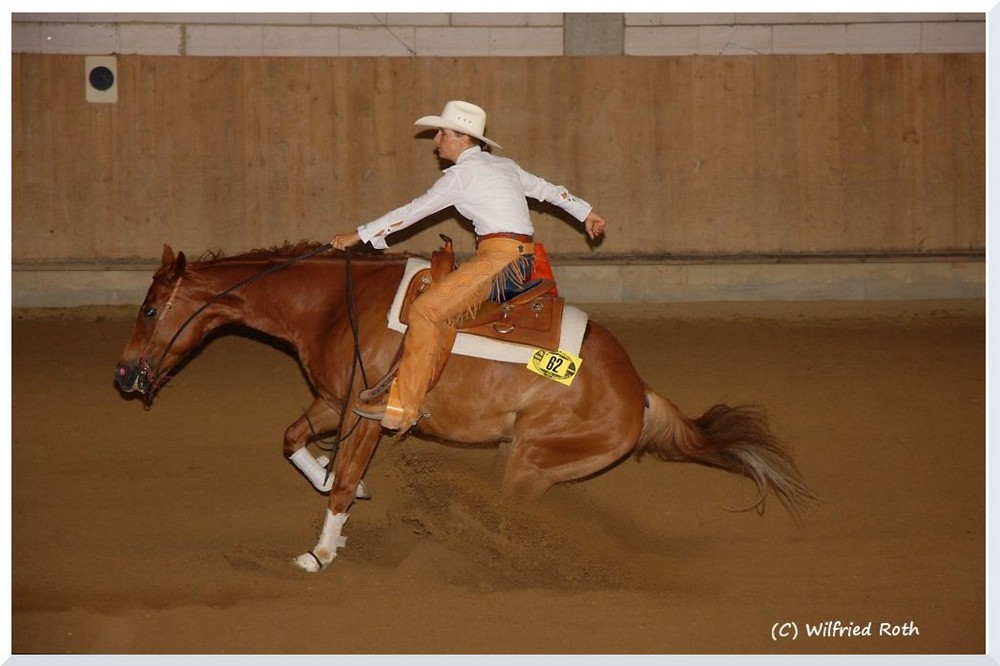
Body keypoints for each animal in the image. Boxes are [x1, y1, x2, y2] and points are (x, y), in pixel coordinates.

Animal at [115, 243, 812, 572]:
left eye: (149, 309)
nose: (122, 375)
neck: (335, 305)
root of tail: (639, 392)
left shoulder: (367, 412)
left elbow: (340, 482)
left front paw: (321, 551)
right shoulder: (332, 403)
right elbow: (293, 441)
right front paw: (344, 492)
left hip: (529, 463)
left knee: (516, 517)